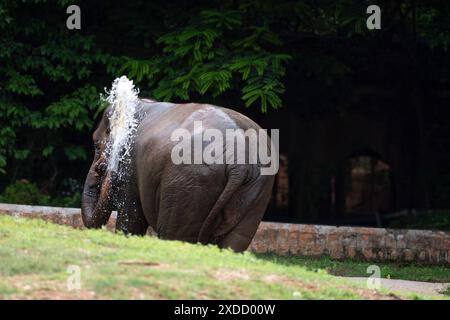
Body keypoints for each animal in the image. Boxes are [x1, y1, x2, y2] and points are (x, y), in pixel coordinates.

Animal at [82, 89, 276, 251]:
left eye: (95, 144)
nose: (100, 168)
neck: (142, 103)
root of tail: (240, 162)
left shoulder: (130, 168)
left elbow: (131, 218)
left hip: (189, 185)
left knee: (175, 235)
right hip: (257, 191)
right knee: (236, 240)